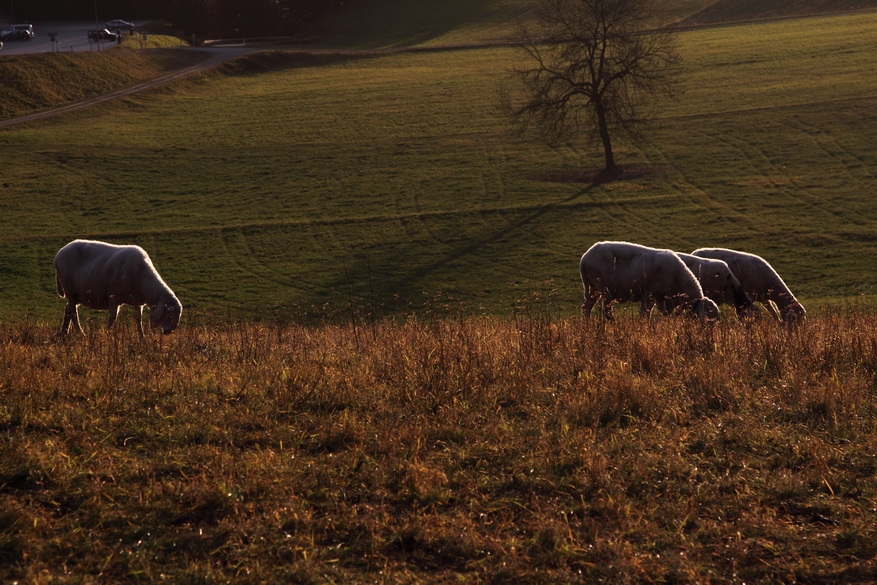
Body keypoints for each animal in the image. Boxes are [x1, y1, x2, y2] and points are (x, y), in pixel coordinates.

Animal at [576, 243, 720, 324]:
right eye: (709, 317)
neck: (679, 279)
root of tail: (584, 259)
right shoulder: (649, 293)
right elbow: (645, 313)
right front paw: (644, 326)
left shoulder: (660, 297)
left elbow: (663, 313)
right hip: (605, 286)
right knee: (606, 310)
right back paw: (613, 324)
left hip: (594, 288)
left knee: (586, 307)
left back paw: (587, 325)